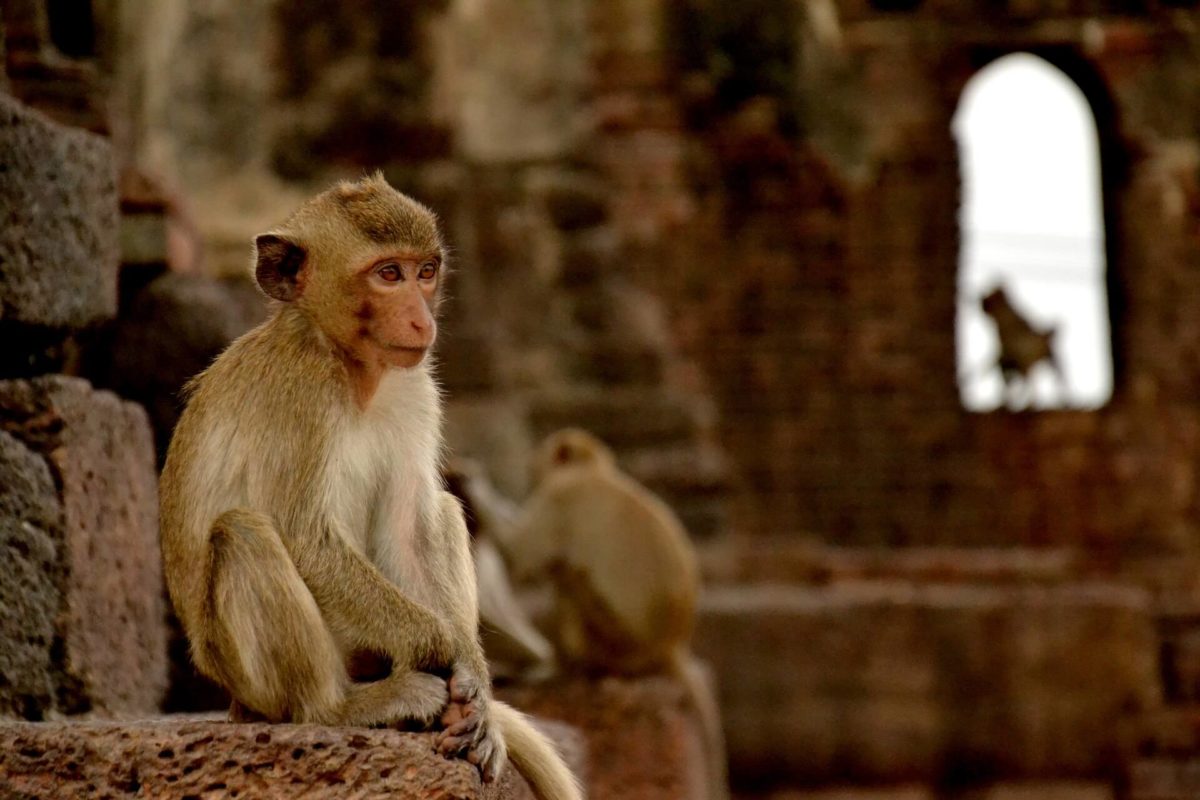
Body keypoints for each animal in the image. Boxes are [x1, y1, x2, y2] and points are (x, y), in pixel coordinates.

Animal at [159, 173, 580, 800]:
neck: (354, 367)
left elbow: (409, 524)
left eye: (424, 271)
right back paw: (339, 708)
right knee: (243, 533)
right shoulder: (302, 387)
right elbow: (306, 538)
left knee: (441, 507)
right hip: (244, 673)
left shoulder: (415, 386)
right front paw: (447, 653)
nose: (423, 320)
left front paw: (474, 684)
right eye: (387, 275)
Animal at [506, 431, 729, 800]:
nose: (529, 465)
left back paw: (568, 670)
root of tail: (669, 646)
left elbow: (521, 562)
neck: (592, 471)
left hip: (611, 640)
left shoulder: (558, 499)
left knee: (570, 579)